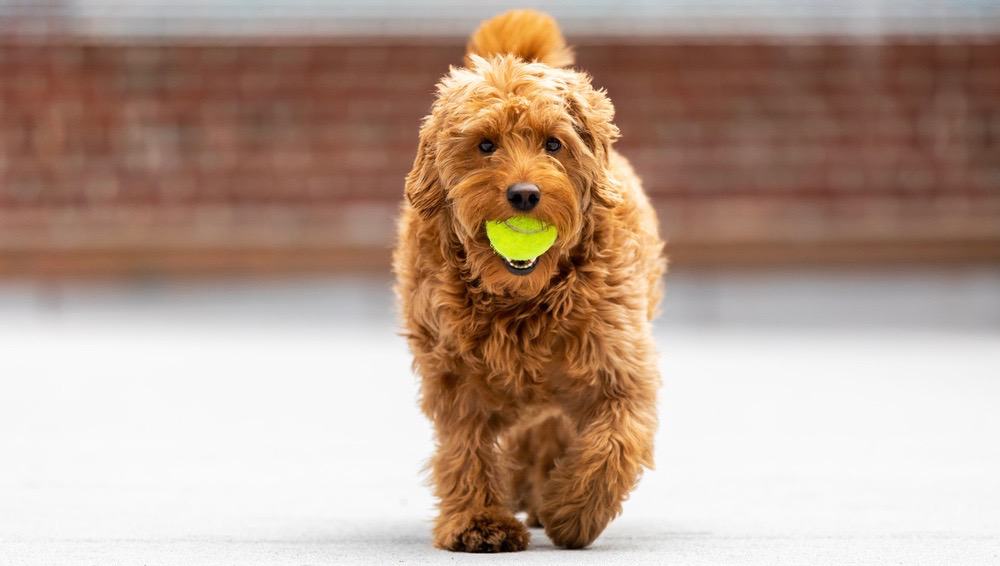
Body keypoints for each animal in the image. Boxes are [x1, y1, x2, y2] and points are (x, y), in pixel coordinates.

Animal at [394, 8, 668, 556]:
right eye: (485, 145)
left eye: (553, 143)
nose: (523, 194)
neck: (521, 300)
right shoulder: (455, 377)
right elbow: (466, 447)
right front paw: (478, 521)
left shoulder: (618, 364)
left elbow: (615, 442)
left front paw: (572, 512)